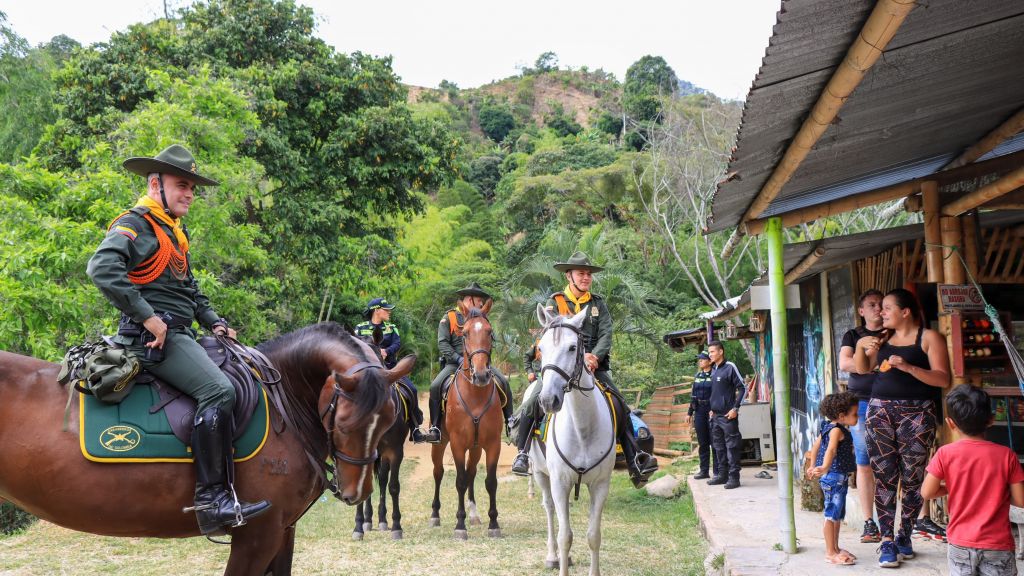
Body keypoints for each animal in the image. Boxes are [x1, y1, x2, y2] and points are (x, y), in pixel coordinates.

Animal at [0, 319, 411, 569]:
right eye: (344, 422)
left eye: (388, 420)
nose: (355, 492)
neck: (284, 401)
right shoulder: (257, 534)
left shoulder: (284, 529)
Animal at [428, 301, 503, 537]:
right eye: (465, 333)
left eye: (489, 332)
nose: (481, 375)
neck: (475, 394)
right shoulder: (458, 444)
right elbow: (459, 481)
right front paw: (459, 525)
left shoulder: (492, 444)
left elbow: (490, 482)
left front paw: (493, 523)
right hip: (440, 443)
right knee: (438, 473)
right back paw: (435, 515)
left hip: (476, 448)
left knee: (471, 473)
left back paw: (474, 514)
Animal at [528, 303, 614, 569]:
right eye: (541, 348)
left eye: (573, 347)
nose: (548, 400)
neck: (582, 429)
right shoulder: (559, 482)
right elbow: (564, 537)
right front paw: (560, 559)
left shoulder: (600, 485)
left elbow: (593, 536)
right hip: (541, 474)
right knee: (549, 509)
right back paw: (552, 556)